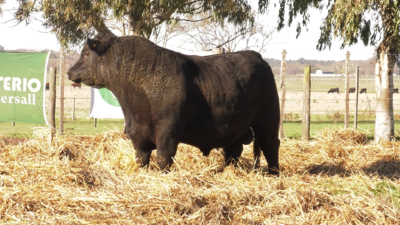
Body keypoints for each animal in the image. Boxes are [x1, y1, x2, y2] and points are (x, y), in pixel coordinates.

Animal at [68, 33, 282, 174]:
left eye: (86, 54)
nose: (70, 72)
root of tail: (257, 56)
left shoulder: (168, 130)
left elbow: (164, 158)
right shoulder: (137, 133)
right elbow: (141, 158)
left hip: (267, 120)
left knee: (270, 145)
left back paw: (274, 173)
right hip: (233, 129)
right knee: (233, 151)